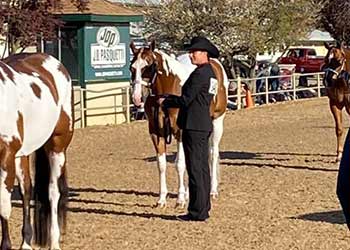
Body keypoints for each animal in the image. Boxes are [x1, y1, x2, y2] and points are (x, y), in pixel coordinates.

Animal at [0, 51, 74, 249]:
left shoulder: (6, 156)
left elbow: (3, 205)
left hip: (57, 148)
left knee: (53, 192)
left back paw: (54, 242)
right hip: (21, 156)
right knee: (26, 190)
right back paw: (26, 242)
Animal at [130, 41, 228, 208]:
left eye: (149, 65)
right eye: (132, 67)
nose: (137, 98)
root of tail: (215, 62)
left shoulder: (180, 132)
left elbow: (180, 164)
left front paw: (180, 199)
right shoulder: (156, 132)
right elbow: (161, 164)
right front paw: (162, 199)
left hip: (217, 122)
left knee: (213, 154)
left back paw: (212, 191)